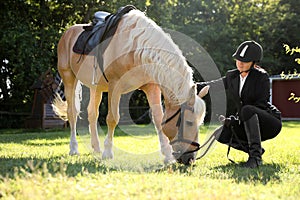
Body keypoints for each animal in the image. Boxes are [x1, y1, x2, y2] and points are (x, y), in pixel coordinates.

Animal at [52, 8, 209, 165]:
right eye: (189, 122)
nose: (190, 158)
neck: (136, 48)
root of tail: (69, 32)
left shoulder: (151, 87)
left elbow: (158, 119)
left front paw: (167, 155)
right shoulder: (114, 86)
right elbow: (112, 118)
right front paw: (108, 153)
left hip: (95, 88)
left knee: (92, 113)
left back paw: (96, 148)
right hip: (69, 79)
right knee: (72, 113)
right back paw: (74, 148)